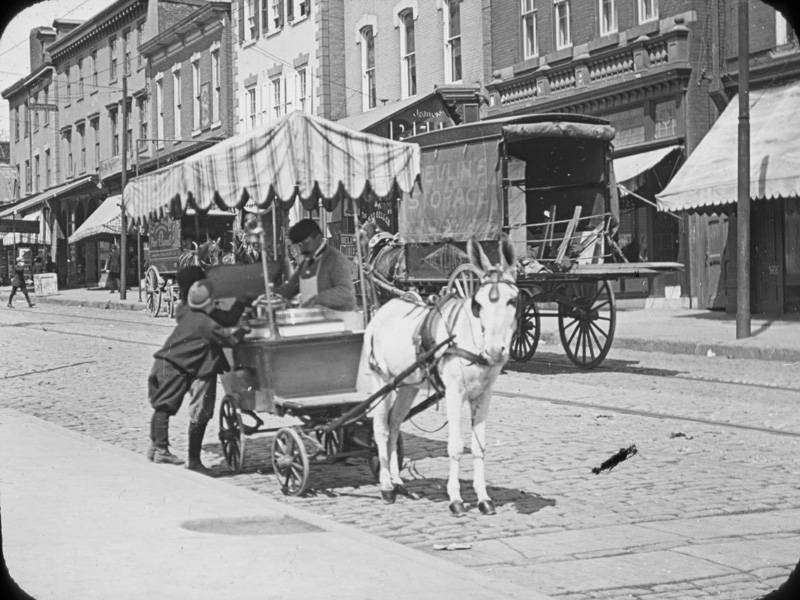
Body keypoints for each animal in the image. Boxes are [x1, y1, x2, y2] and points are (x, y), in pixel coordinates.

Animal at [356, 234, 520, 516]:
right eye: (478, 304)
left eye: (512, 300)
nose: (494, 350)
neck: (468, 338)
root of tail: (382, 311)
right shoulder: (455, 393)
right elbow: (455, 445)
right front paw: (455, 499)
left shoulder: (484, 395)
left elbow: (479, 445)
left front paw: (484, 498)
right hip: (382, 381)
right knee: (381, 428)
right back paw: (386, 486)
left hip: (408, 386)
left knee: (395, 423)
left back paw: (398, 482)